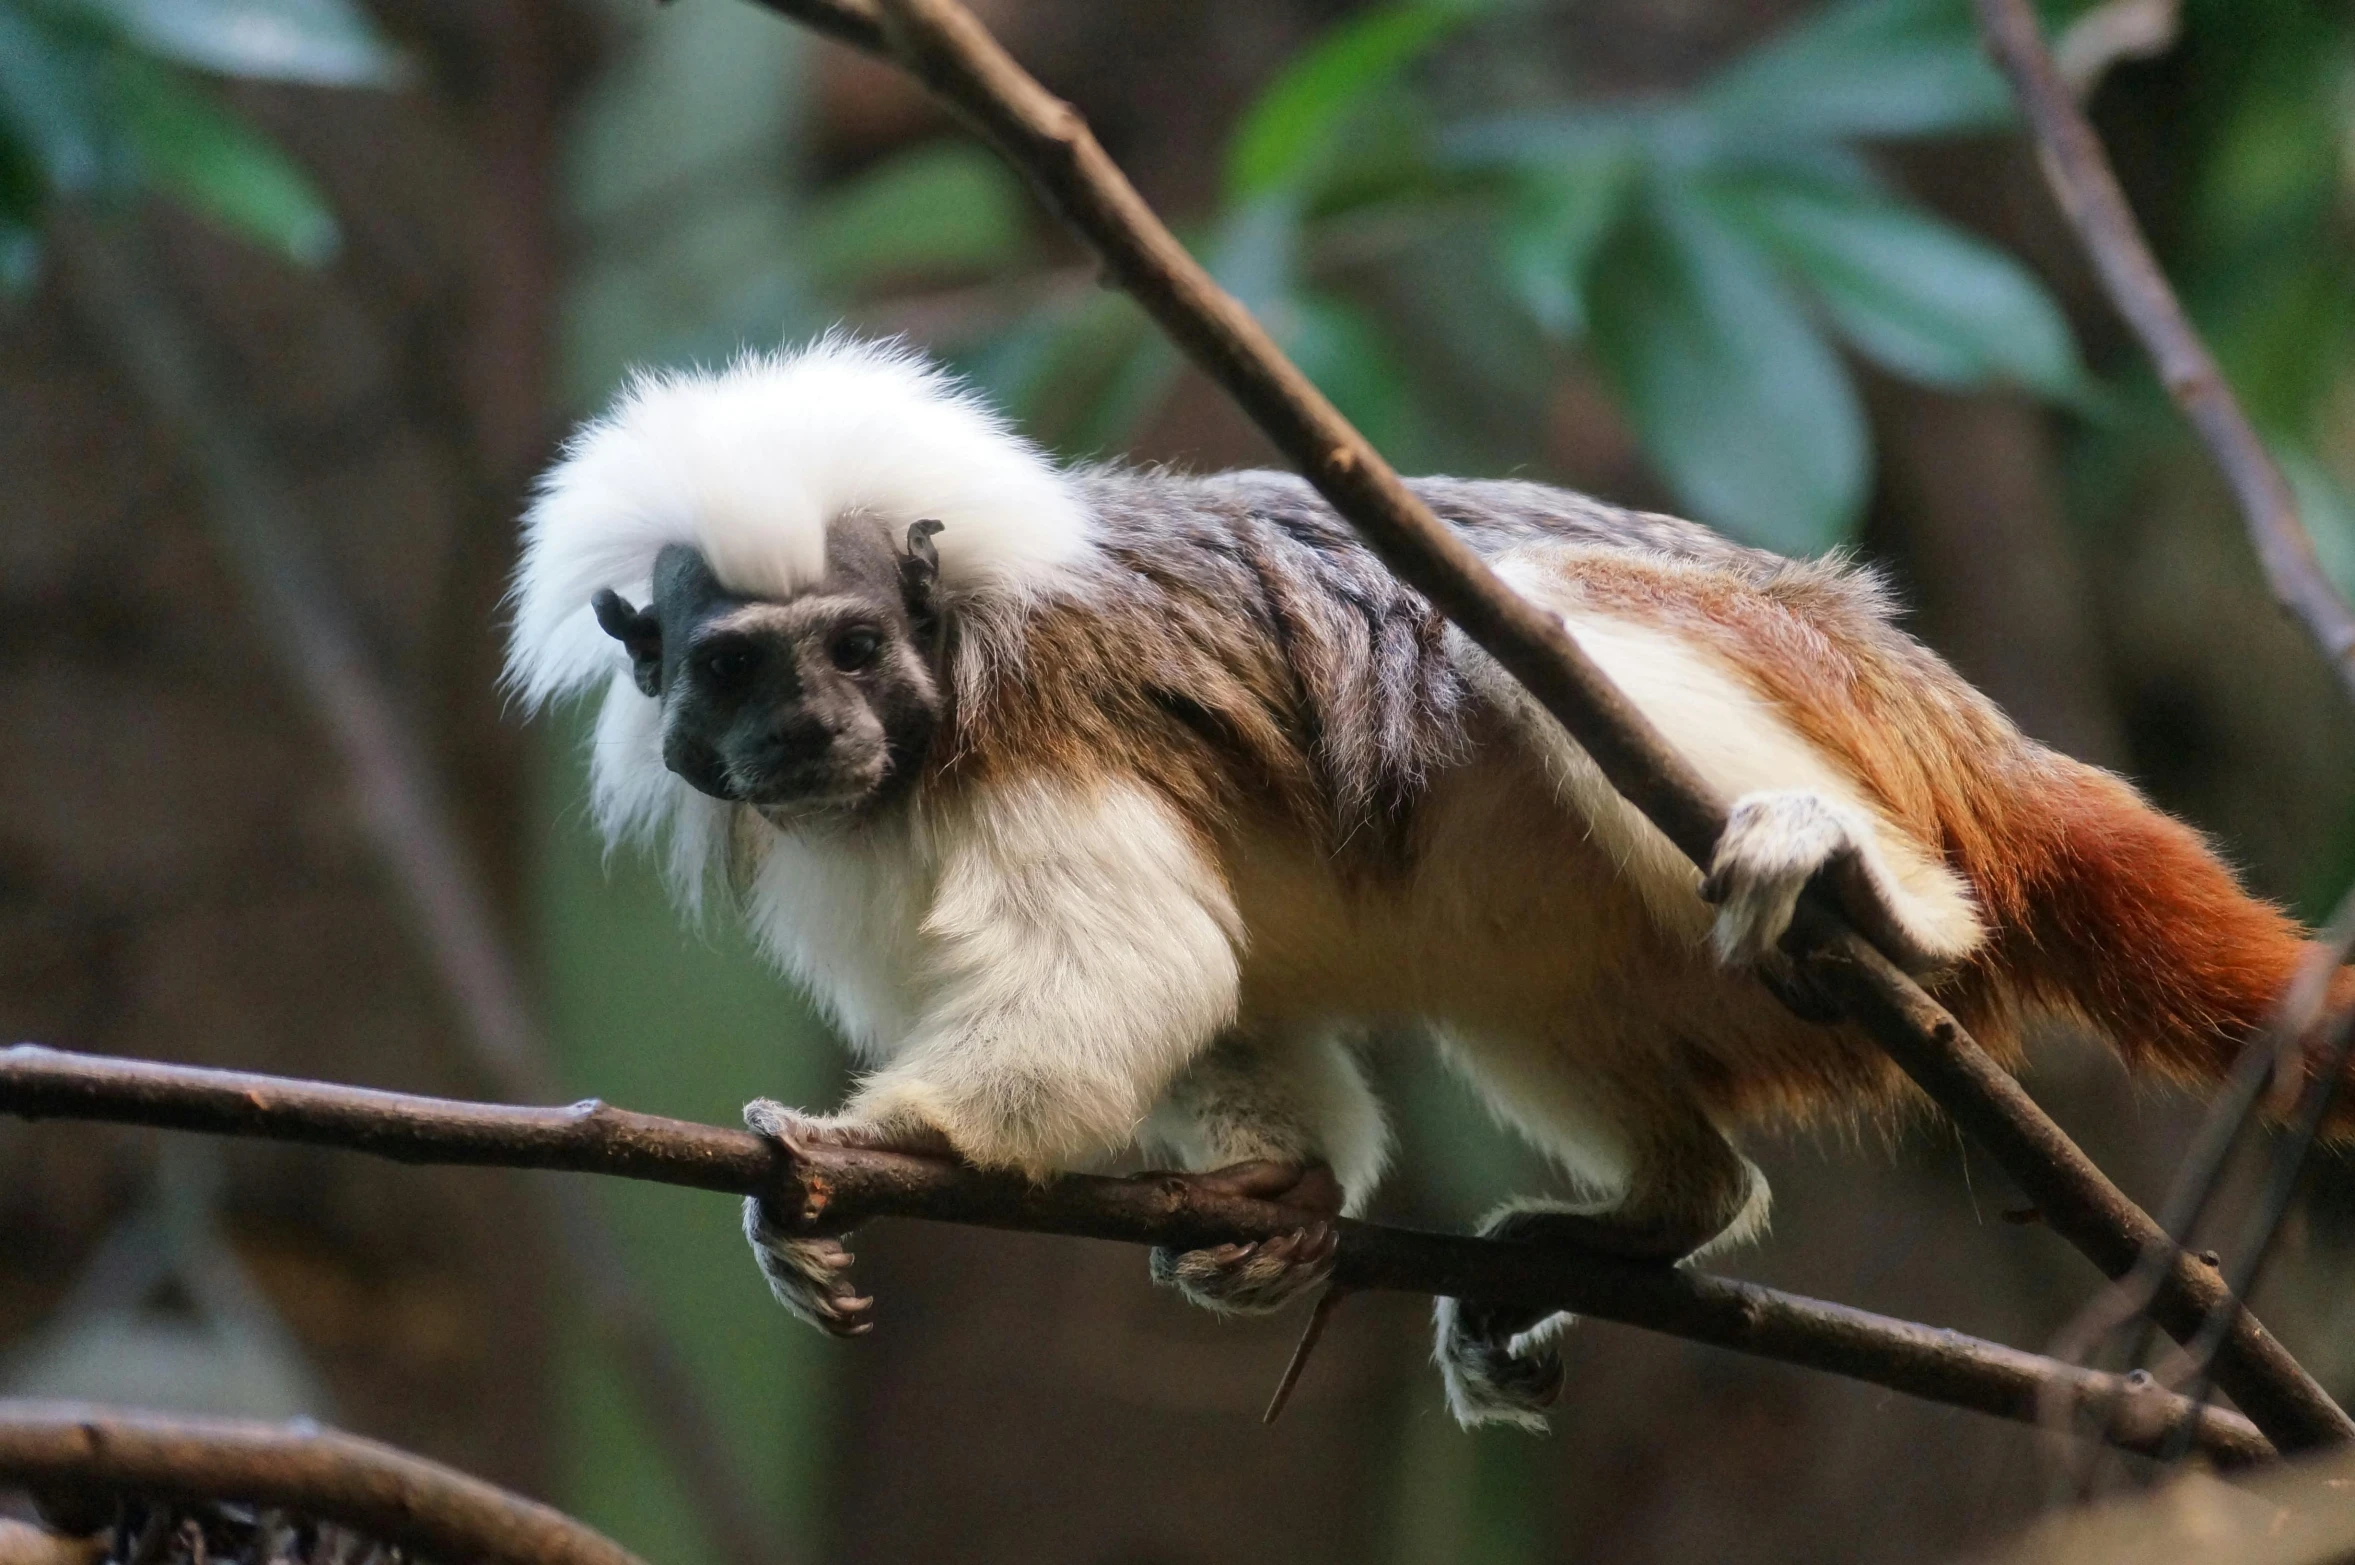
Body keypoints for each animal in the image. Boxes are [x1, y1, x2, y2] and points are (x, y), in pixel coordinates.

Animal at [511, 336, 2355, 1430]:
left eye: (850, 649)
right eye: (732, 670)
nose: (808, 730)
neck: (930, 701)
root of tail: (1943, 712)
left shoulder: (1044, 732)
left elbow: (1126, 975)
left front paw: (855, 1162)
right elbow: (1210, 1007)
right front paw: (1271, 1198)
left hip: (1817, 719)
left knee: (1534, 627)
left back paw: (1864, 890)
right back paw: (1655, 1212)